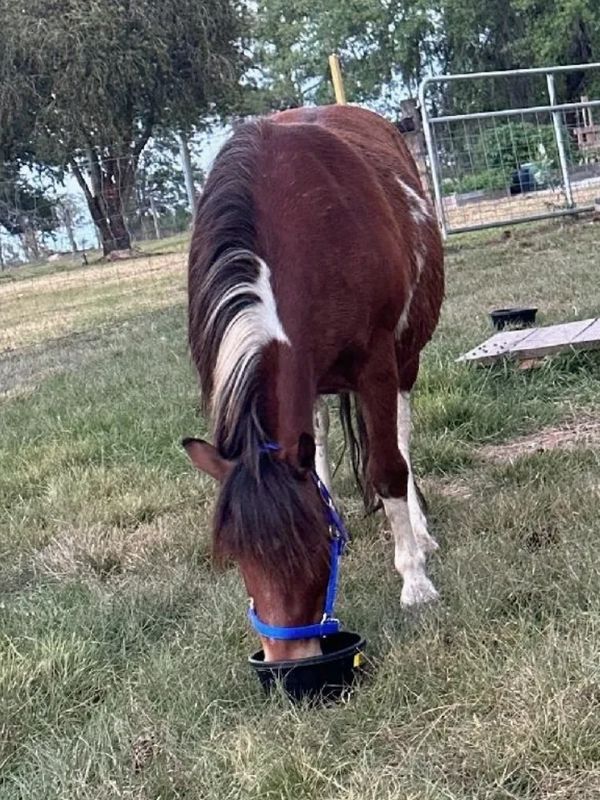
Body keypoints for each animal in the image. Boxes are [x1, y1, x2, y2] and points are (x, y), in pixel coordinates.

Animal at [184, 104, 444, 663]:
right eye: (238, 557)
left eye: (310, 548)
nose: (287, 662)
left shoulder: (377, 365)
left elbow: (389, 467)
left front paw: (415, 581)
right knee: (320, 436)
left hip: (406, 360)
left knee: (402, 438)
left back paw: (419, 532)